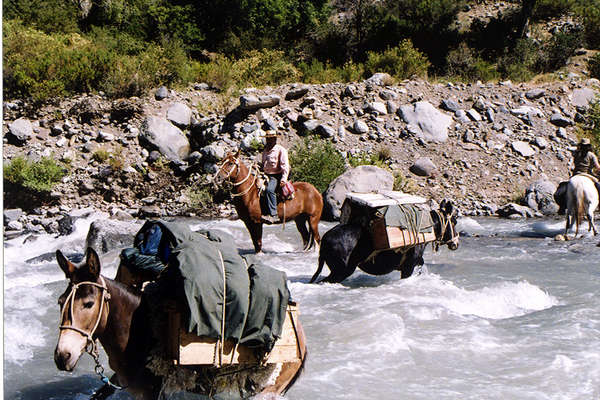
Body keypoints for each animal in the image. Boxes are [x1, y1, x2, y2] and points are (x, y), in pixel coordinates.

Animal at [55, 247, 310, 400]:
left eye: (88, 304)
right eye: (60, 301)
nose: (62, 356)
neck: (141, 332)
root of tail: (301, 336)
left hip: (270, 387)